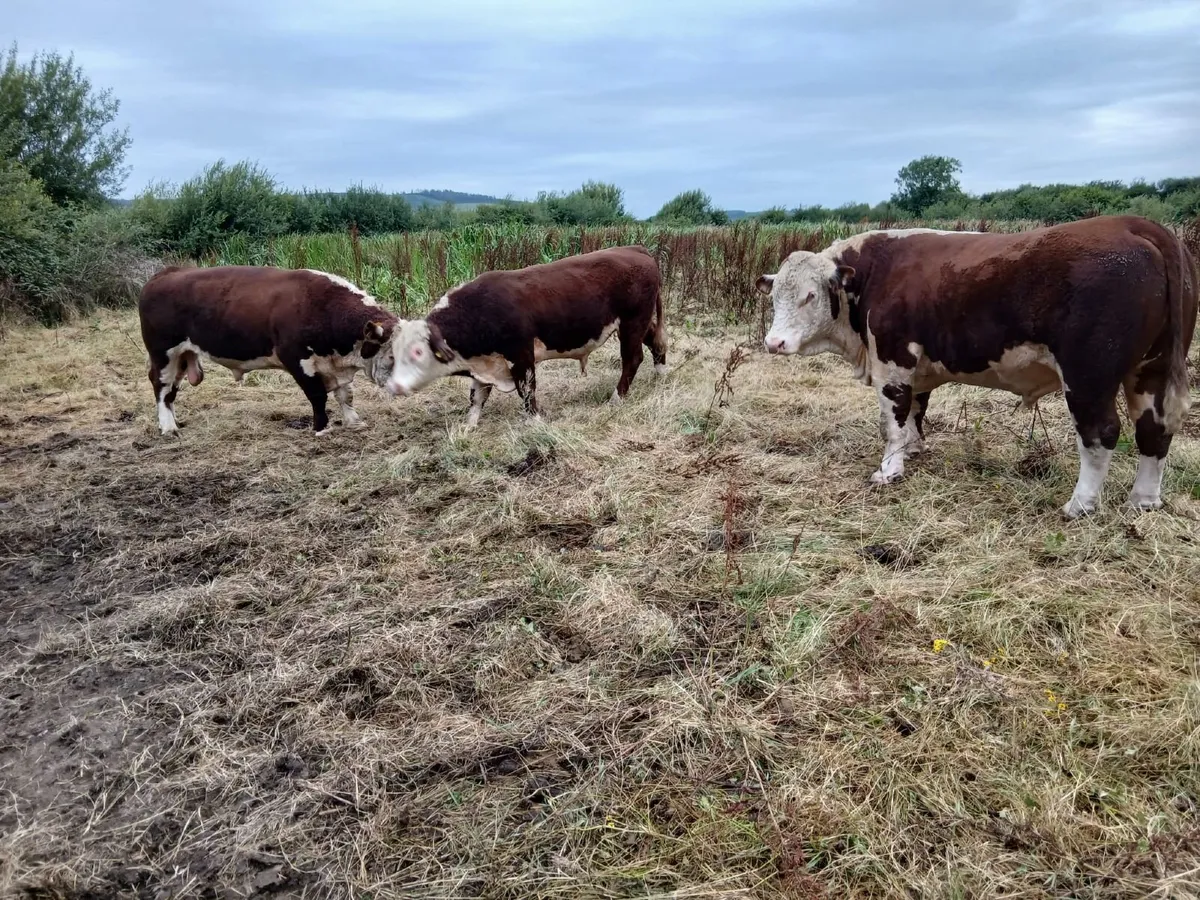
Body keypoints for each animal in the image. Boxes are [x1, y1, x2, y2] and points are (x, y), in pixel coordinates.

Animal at [138, 265, 403, 436]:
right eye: (392, 355)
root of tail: (165, 273)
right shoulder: (297, 359)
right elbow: (317, 395)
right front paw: (321, 428)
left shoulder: (333, 365)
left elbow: (345, 395)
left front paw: (353, 421)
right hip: (163, 353)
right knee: (161, 386)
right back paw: (168, 427)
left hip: (182, 356)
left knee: (171, 390)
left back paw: (172, 422)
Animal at [381, 245, 668, 425]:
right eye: (393, 353)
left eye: (417, 352)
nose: (392, 386)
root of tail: (634, 249)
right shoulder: (484, 365)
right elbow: (477, 396)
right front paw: (467, 426)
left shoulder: (520, 356)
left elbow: (527, 391)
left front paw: (536, 421)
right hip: (637, 323)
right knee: (656, 341)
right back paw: (661, 374)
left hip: (632, 322)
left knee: (632, 359)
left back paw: (616, 399)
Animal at [756, 215, 1198, 519]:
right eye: (775, 296)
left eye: (810, 296)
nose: (774, 343)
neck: (873, 273)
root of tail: (1133, 224)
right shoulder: (919, 367)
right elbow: (916, 411)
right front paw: (915, 449)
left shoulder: (893, 360)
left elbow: (893, 420)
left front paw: (890, 469)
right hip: (1152, 369)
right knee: (1154, 429)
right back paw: (1144, 501)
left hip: (1088, 376)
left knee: (1100, 434)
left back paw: (1081, 505)